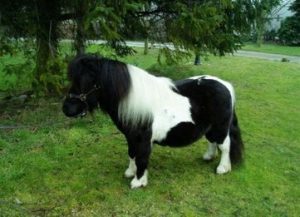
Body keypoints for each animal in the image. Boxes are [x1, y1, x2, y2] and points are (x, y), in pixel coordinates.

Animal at [62, 54, 243, 188]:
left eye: (88, 81)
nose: (67, 109)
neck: (133, 101)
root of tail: (225, 85)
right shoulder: (131, 137)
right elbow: (132, 153)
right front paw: (130, 172)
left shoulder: (143, 138)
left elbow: (141, 157)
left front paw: (138, 181)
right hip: (210, 127)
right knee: (212, 141)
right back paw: (208, 156)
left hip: (220, 126)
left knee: (224, 145)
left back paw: (223, 168)